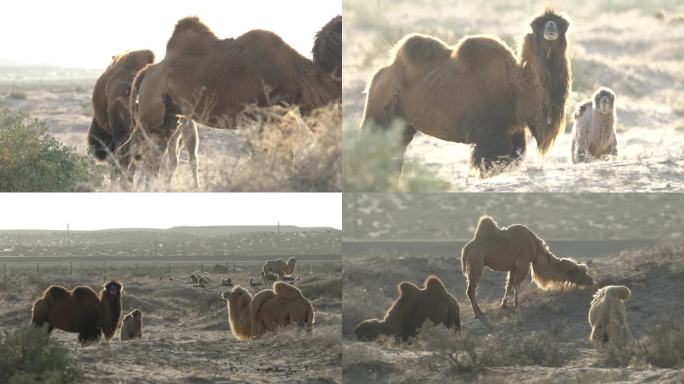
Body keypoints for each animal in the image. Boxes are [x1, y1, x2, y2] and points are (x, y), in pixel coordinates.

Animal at [364, 8, 572, 177]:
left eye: (562, 24)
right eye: (538, 24)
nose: (551, 27)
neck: (518, 90)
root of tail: (379, 74)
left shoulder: (513, 133)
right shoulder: (490, 135)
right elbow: (487, 166)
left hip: (404, 122)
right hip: (378, 110)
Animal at [460, 216, 592, 318]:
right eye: (580, 271)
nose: (591, 281)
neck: (536, 249)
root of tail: (467, 247)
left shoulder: (513, 266)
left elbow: (509, 284)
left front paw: (504, 305)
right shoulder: (523, 262)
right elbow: (517, 284)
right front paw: (516, 304)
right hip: (476, 262)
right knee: (471, 289)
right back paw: (478, 313)